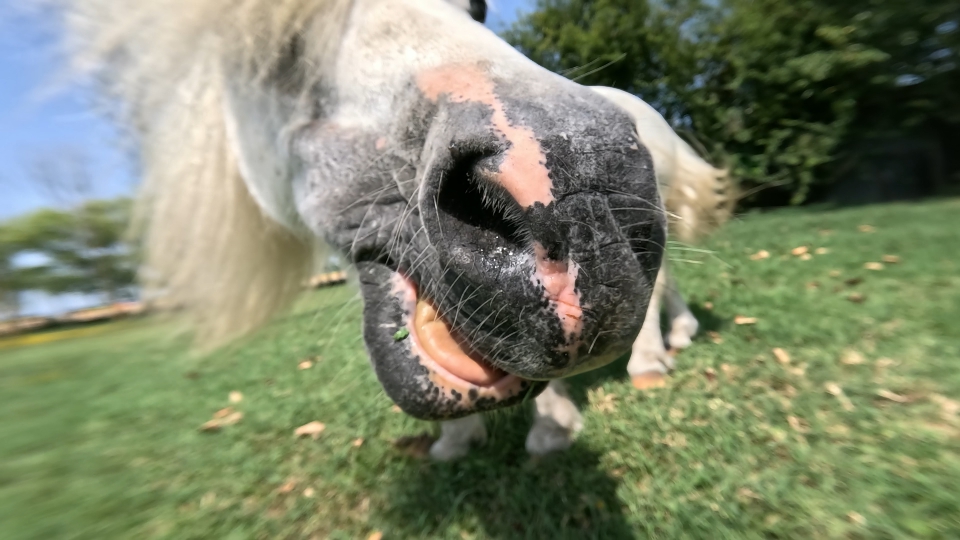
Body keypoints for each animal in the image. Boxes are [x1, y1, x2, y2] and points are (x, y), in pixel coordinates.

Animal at [64, 0, 729, 460]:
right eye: (264, 47)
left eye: (478, 5)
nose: (584, 194)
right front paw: (456, 442)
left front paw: (551, 430)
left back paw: (653, 359)